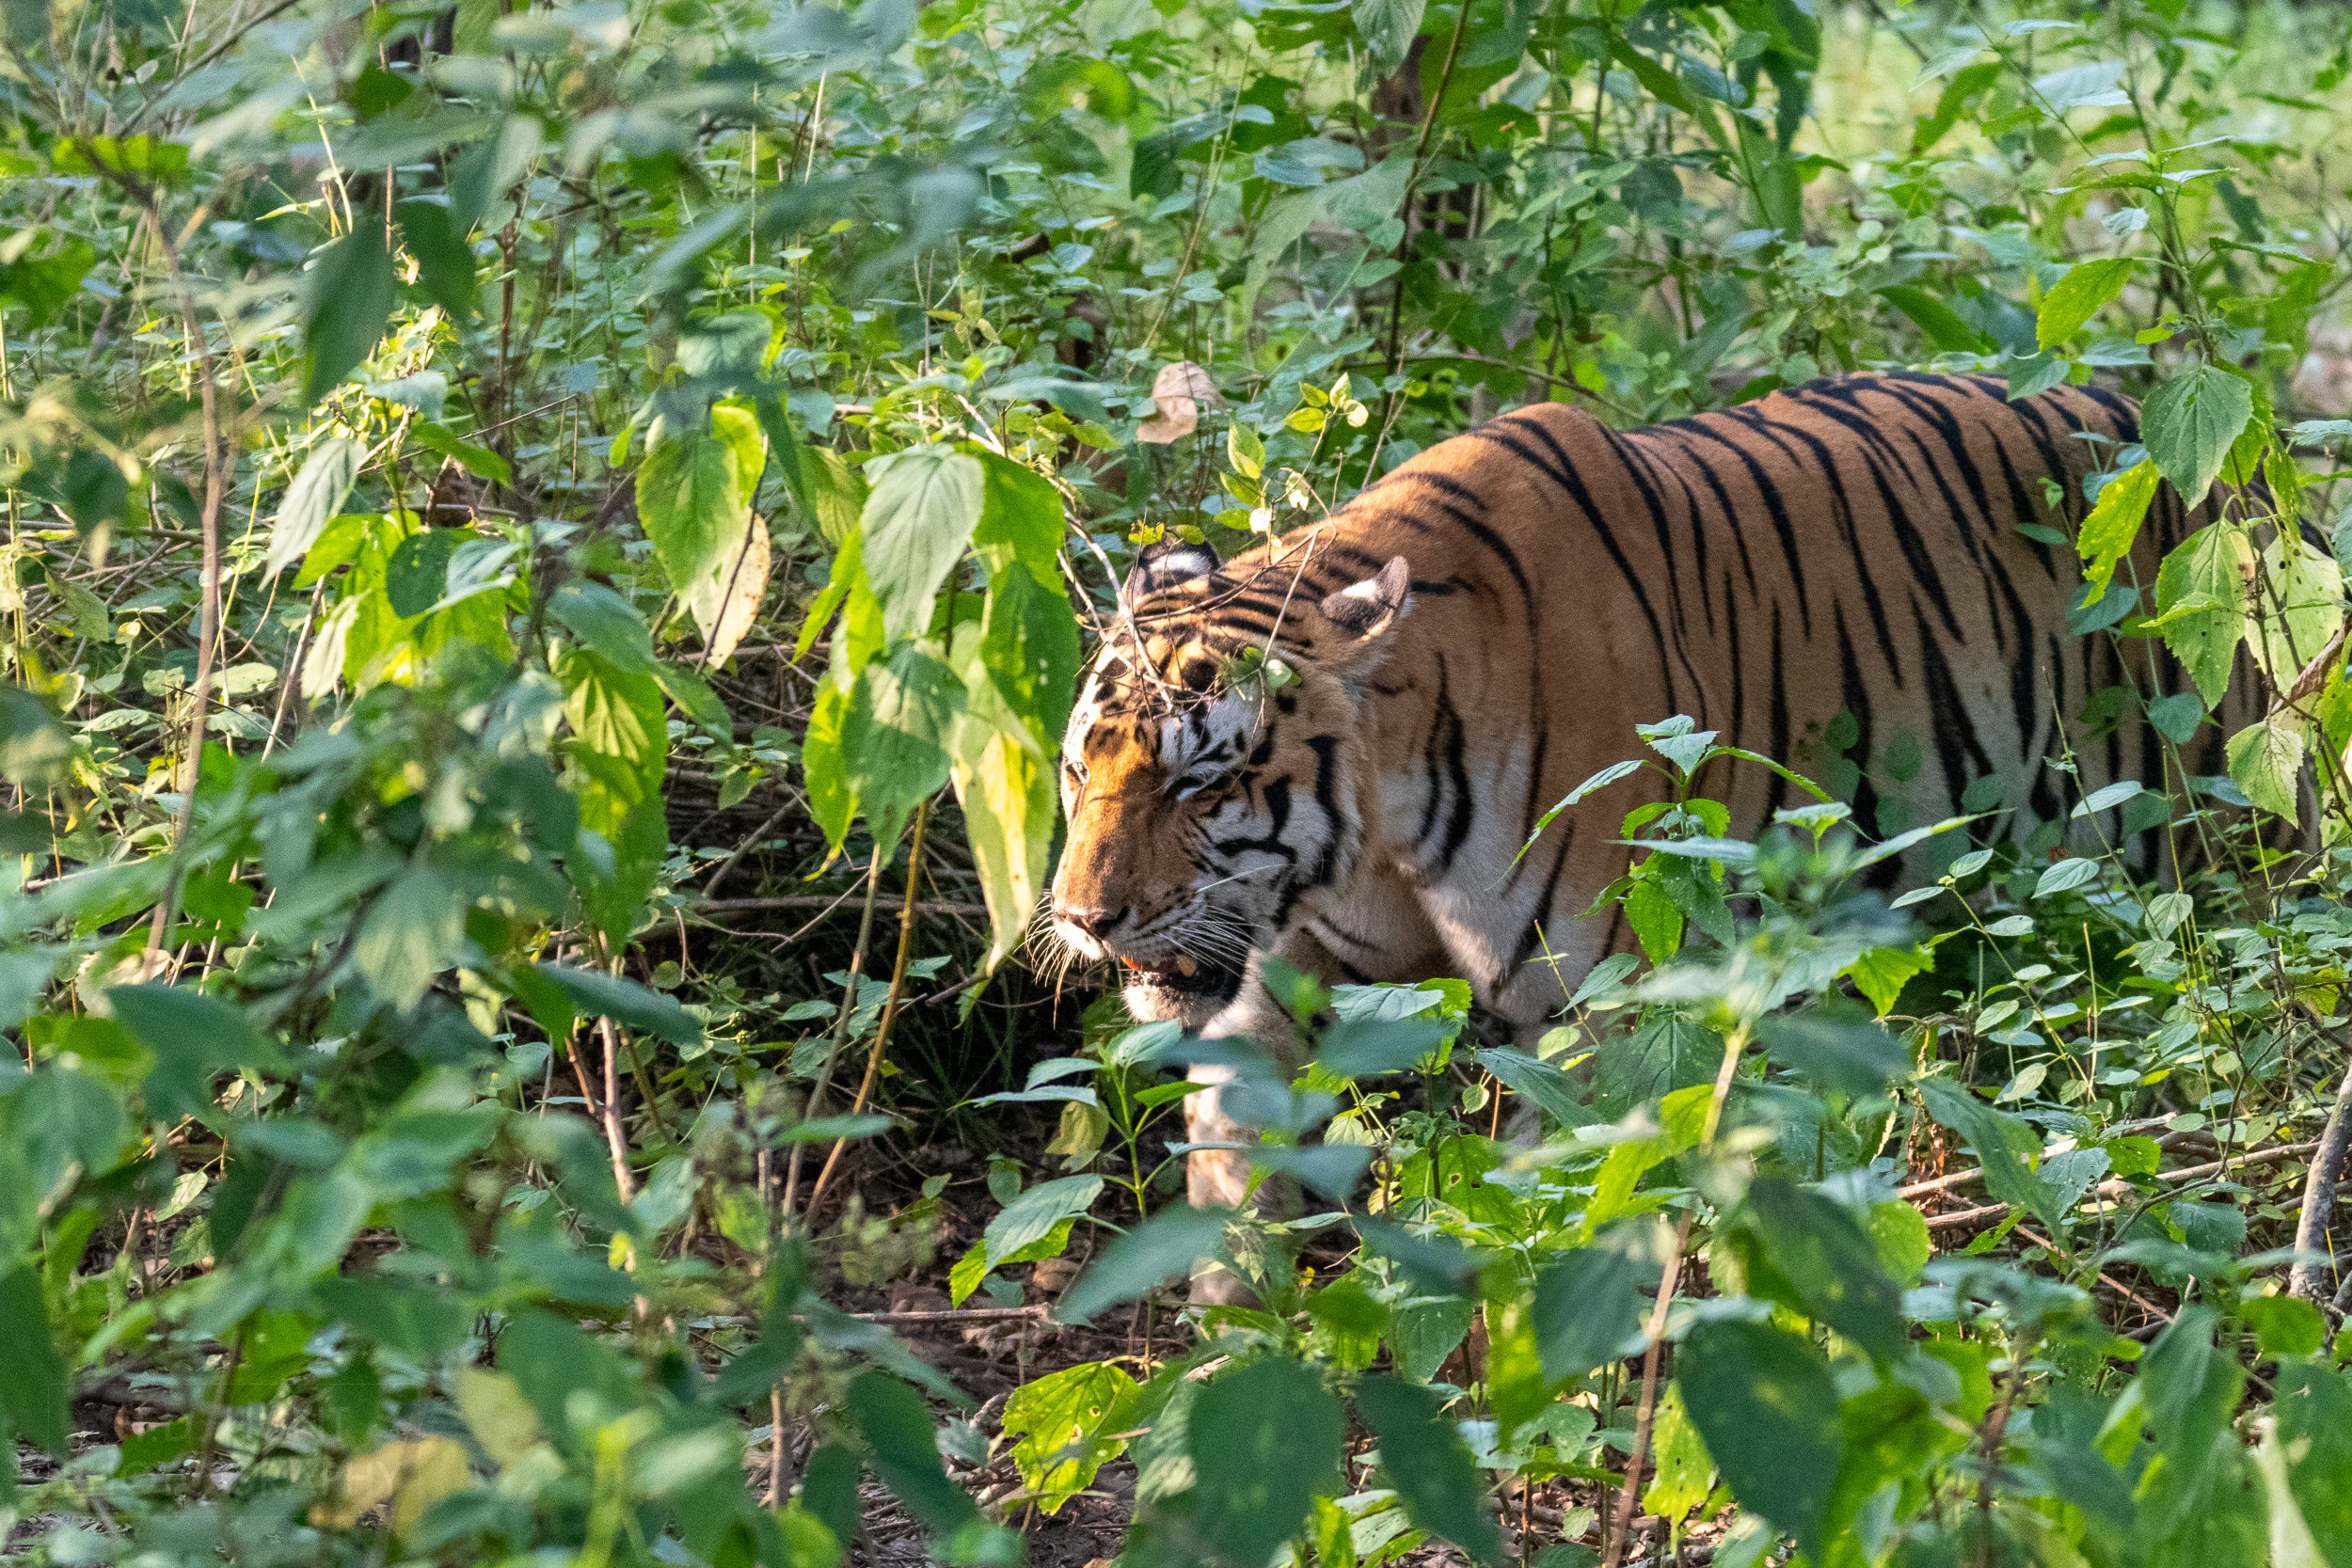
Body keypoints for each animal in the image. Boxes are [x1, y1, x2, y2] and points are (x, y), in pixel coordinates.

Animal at [1046, 370, 2236, 1244]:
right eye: (1076, 772)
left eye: (1201, 781)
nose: (1081, 919)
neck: (1378, 827)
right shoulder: (1287, 962)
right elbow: (1231, 1148)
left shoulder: (1605, 999)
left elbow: (1558, 1207)